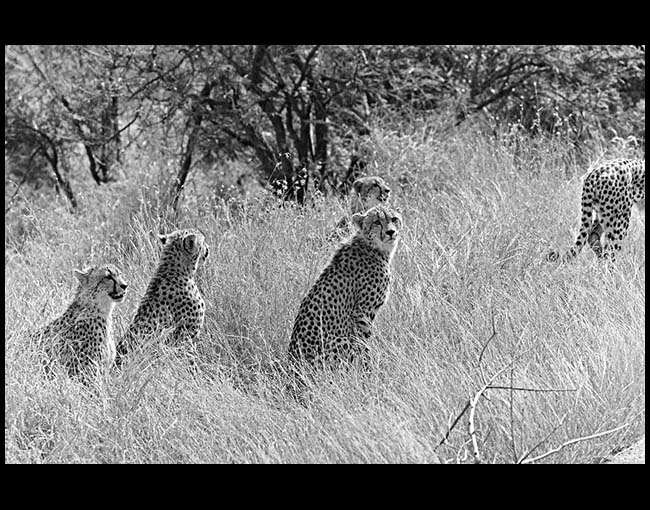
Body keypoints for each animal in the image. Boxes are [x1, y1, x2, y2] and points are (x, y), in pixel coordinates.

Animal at [288, 204, 400, 370]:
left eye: (394, 219)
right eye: (376, 222)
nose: (390, 232)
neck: (372, 246)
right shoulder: (361, 312)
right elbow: (363, 342)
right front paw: (369, 368)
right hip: (340, 340)